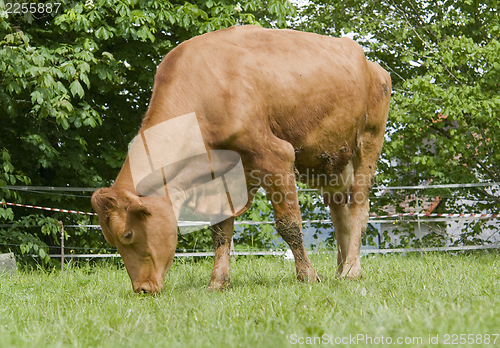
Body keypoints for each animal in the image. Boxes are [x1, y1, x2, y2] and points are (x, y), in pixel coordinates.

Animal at [92, 24, 392, 292]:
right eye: (112, 241)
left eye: (127, 234)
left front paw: (307, 275)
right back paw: (341, 270)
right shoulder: (221, 177)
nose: (142, 288)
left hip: (369, 142)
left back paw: (352, 270)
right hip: (329, 161)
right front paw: (217, 283)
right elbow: (220, 231)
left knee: (359, 207)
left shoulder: (276, 156)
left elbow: (289, 224)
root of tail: (370, 64)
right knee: (340, 213)